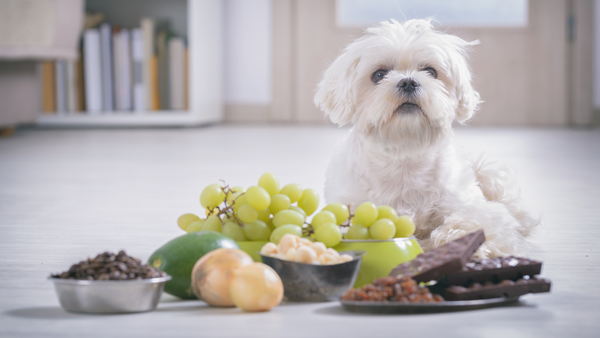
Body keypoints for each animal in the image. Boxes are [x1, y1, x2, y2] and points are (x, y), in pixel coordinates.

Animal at [314, 19, 540, 258]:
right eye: (379, 75)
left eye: (431, 71)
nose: (408, 82)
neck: (405, 154)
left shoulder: (473, 207)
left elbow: (476, 222)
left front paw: (457, 241)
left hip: (488, 173)